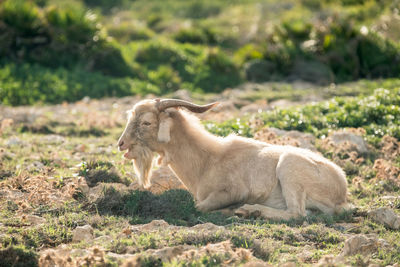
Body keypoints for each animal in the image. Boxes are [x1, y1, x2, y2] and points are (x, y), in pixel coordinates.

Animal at [117, 98, 348, 220]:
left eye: (146, 122)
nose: (121, 144)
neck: (207, 159)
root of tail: (342, 191)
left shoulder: (233, 190)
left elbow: (199, 207)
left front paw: (232, 209)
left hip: (290, 167)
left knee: (297, 213)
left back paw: (250, 210)